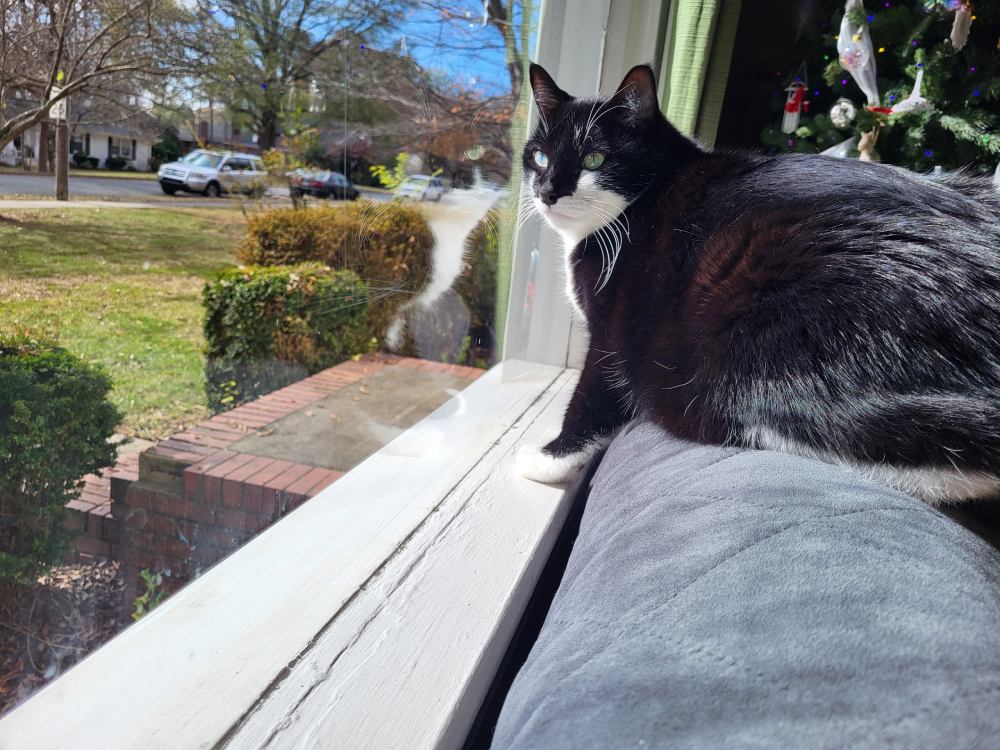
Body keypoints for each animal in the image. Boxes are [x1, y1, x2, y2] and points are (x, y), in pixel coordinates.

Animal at [516, 60, 1000, 506]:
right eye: (540, 157)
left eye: (593, 159)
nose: (548, 191)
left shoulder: (612, 327)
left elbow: (593, 393)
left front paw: (546, 459)